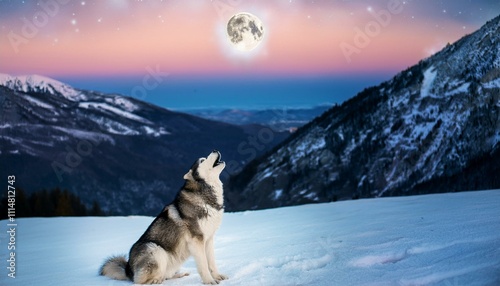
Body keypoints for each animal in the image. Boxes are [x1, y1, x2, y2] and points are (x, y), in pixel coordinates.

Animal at [100, 151, 229, 284]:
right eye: (202, 160)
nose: (215, 150)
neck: (207, 199)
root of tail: (128, 270)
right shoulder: (196, 241)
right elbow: (203, 265)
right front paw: (209, 281)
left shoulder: (209, 239)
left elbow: (212, 262)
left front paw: (218, 276)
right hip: (155, 249)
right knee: (140, 281)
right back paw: (156, 281)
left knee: (166, 275)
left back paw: (180, 274)